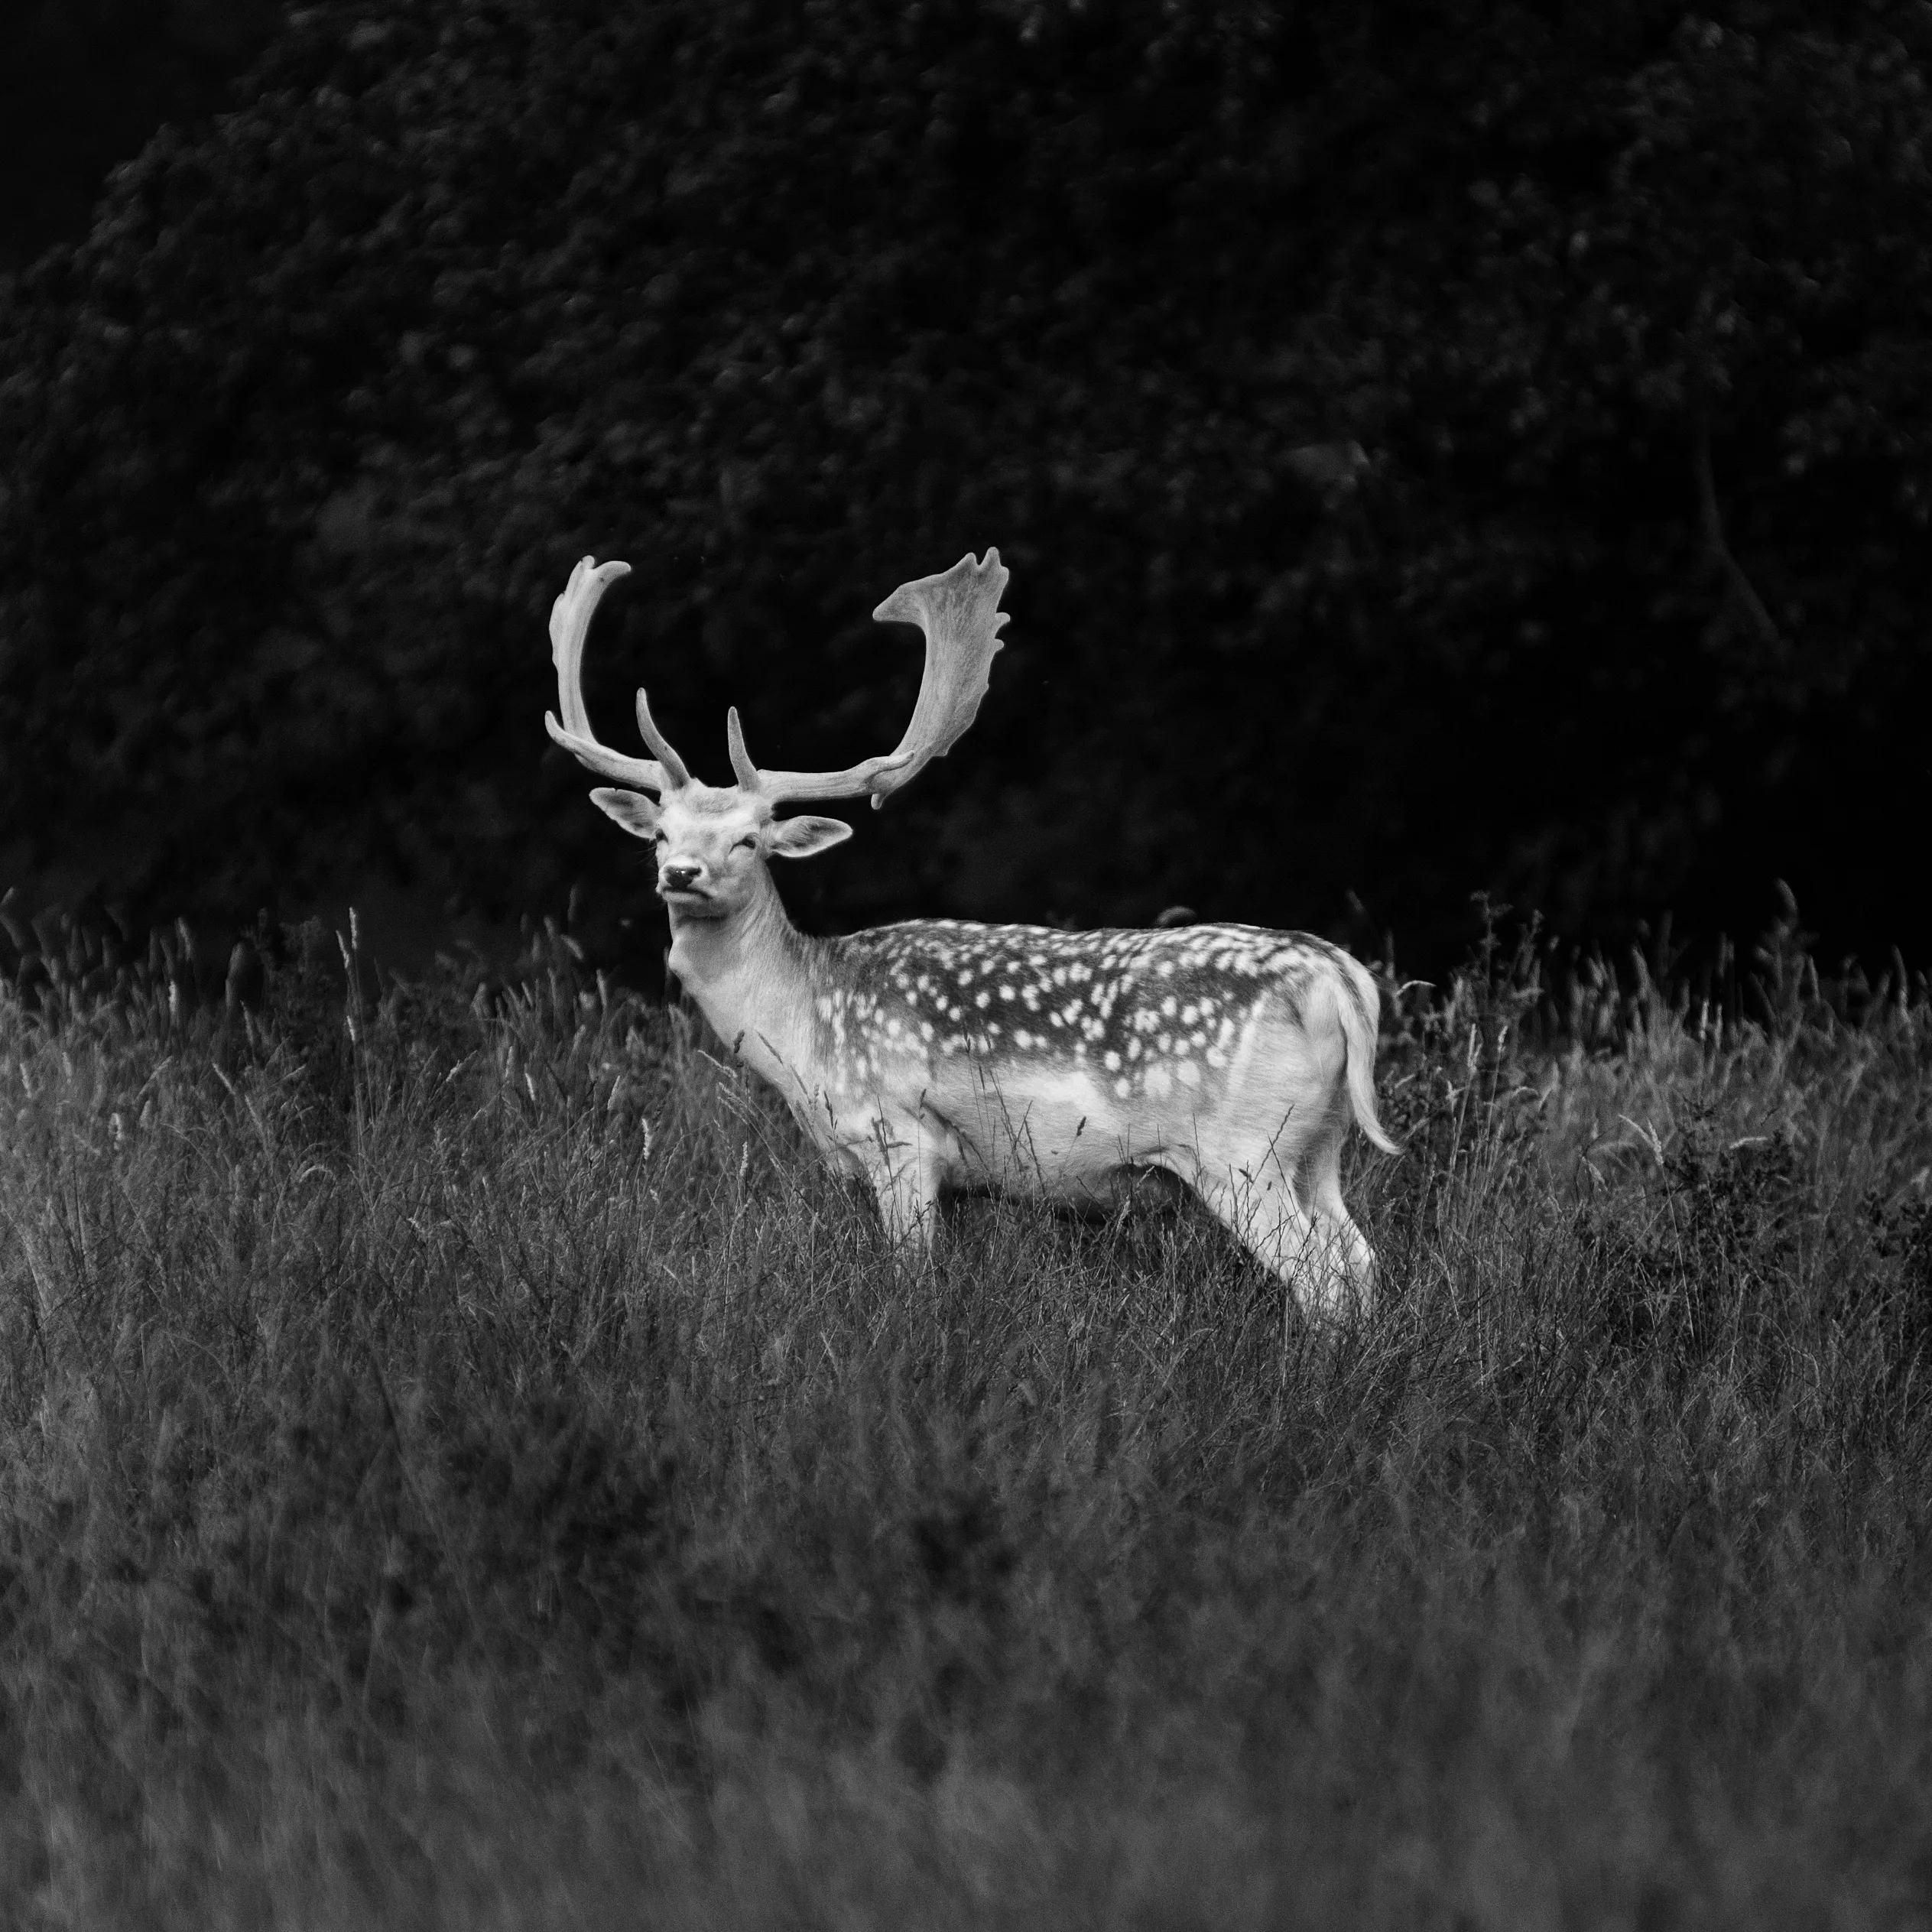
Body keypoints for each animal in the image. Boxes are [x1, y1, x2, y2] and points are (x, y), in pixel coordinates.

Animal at [545, 549, 1398, 1318]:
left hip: (1239, 1146)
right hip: (1318, 1142)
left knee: (1320, 1276)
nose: (681, 873)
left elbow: (912, 1281)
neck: (803, 1029)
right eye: (660, 833)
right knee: (1360, 1258)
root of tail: (1339, 979)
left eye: (751, 839)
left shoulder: (899, 1134)